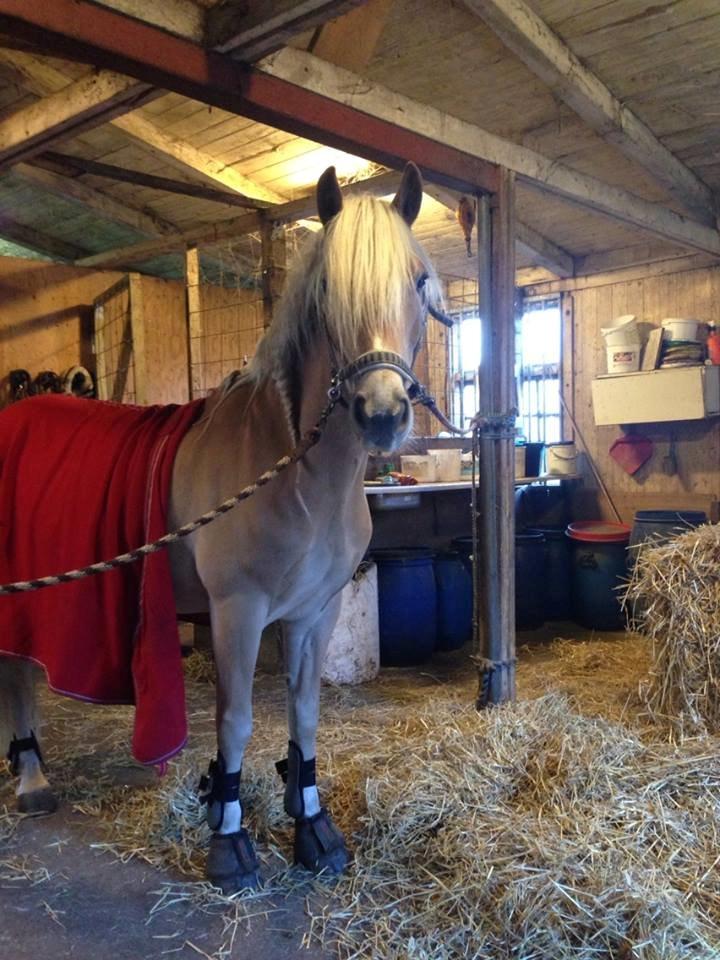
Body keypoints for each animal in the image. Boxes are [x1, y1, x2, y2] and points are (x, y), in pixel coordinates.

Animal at [0, 162, 441, 893]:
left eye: (417, 279)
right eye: (330, 288)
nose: (381, 414)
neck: (296, 471)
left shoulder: (316, 611)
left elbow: (305, 712)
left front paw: (312, 826)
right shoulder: (238, 611)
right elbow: (235, 720)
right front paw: (229, 836)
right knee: (17, 675)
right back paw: (32, 778)